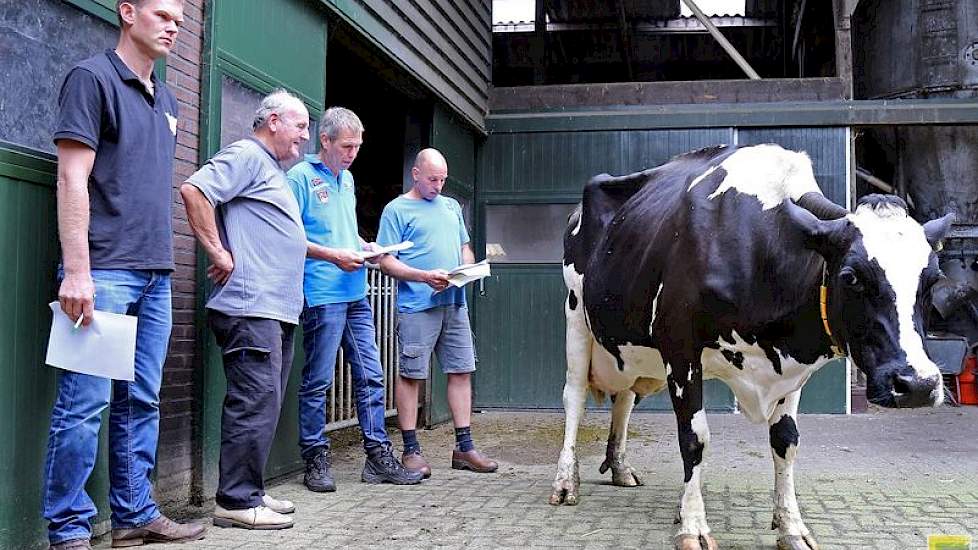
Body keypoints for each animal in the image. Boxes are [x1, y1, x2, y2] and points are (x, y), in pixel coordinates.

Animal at [548, 144, 952, 550]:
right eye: (851, 277)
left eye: (934, 279)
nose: (918, 384)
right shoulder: (680, 348)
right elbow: (694, 439)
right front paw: (693, 525)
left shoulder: (791, 367)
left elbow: (786, 441)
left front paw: (791, 527)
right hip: (576, 316)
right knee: (575, 397)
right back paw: (566, 481)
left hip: (631, 350)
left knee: (626, 399)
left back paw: (619, 467)